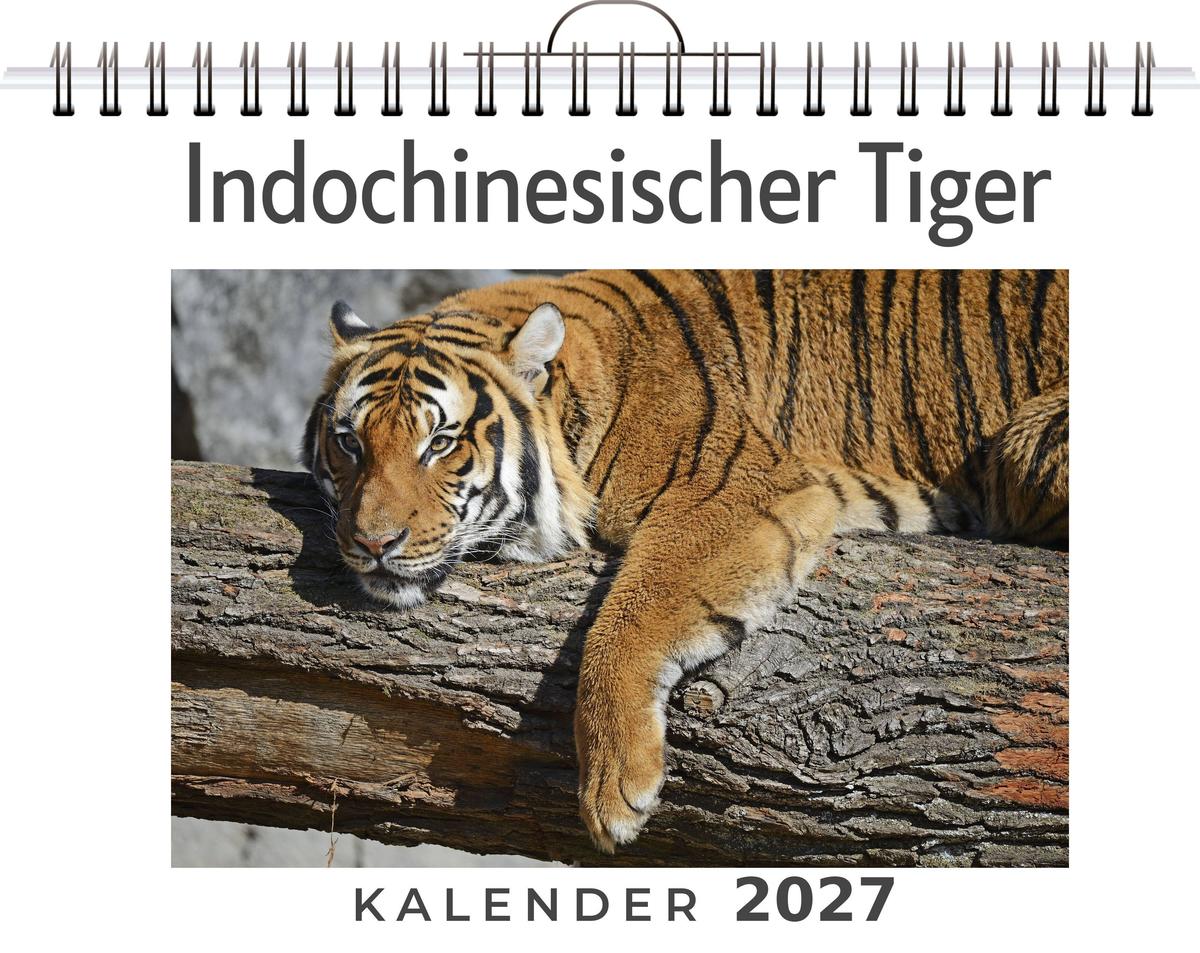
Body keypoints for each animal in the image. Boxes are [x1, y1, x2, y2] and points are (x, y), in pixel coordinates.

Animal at [301, 269, 1068, 853]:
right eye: (348, 441)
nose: (373, 543)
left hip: (1024, 449)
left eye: (441, 443)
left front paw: (616, 786)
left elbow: (631, 618)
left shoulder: (735, 489)